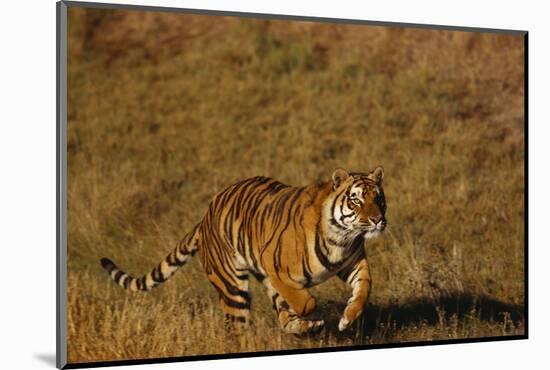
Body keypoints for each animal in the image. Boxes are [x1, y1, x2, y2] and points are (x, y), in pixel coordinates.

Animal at [101, 166, 390, 334]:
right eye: (356, 200)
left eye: (378, 197)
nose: (377, 220)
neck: (341, 238)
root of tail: (204, 218)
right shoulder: (275, 266)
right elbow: (305, 300)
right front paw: (313, 311)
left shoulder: (353, 262)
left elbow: (364, 288)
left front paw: (348, 317)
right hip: (233, 290)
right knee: (238, 328)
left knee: (282, 317)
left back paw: (305, 327)